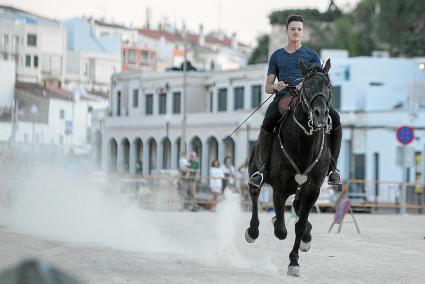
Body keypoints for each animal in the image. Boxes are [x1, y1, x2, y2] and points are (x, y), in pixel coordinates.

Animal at [245, 58, 334, 276]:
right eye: (307, 86)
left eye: (328, 86)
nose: (320, 114)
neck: (304, 143)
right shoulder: (280, 189)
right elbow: (281, 229)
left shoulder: (312, 190)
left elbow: (300, 225)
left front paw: (295, 260)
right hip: (255, 170)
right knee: (254, 192)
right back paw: (253, 231)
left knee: (297, 207)